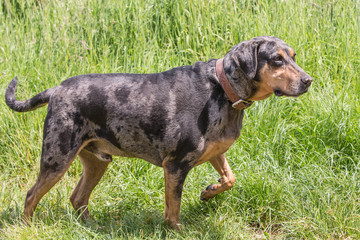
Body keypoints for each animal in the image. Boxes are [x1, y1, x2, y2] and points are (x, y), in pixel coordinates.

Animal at [4, 35, 310, 229]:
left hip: (96, 162)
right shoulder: (175, 166)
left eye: (294, 57)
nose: (309, 80)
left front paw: (209, 192)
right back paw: (28, 227)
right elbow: (173, 208)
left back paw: (94, 227)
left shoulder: (215, 152)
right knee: (31, 195)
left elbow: (230, 178)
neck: (222, 89)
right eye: (277, 60)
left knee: (77, 198)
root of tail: (56, 89)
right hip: (57, 158)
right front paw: (176, 230)